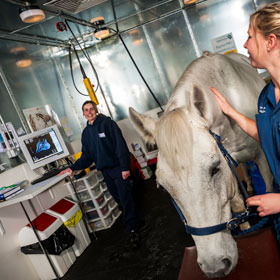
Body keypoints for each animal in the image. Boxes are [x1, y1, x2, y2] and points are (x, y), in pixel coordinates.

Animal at [130, 52, 274, 278]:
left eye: (214, 169)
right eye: (163, 188)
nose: (214, 266)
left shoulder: (260, 156)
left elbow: (267, 189)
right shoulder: (228, 164)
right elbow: (237, 206)